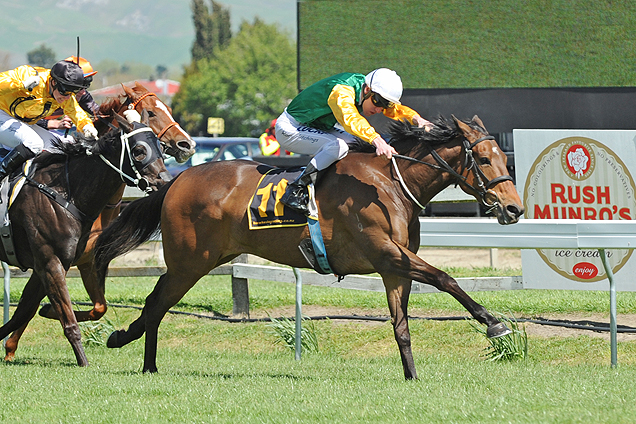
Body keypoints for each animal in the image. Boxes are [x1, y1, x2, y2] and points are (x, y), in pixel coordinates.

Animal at [1, 83, 194, 362]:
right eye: (151, 112)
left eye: (167, 107)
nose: (187, 144)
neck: (66, 191)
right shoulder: (50, 261)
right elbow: (52, 311)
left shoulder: (82, 261)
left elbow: (90, 307)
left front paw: (33, 323)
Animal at [93, 115, 520, 378]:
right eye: (484, 159)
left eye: (505, 158)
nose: (514, 208)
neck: (390, 184)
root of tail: (175, 181)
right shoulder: (387, 252)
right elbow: (446, 278)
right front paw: (493, 322)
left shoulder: (393, 267)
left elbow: (401, 326)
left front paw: (412, 375)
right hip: (189, 262)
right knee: (156, 304)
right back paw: (135, 353)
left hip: (200, 260)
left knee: (156, 304)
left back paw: (139, 354)